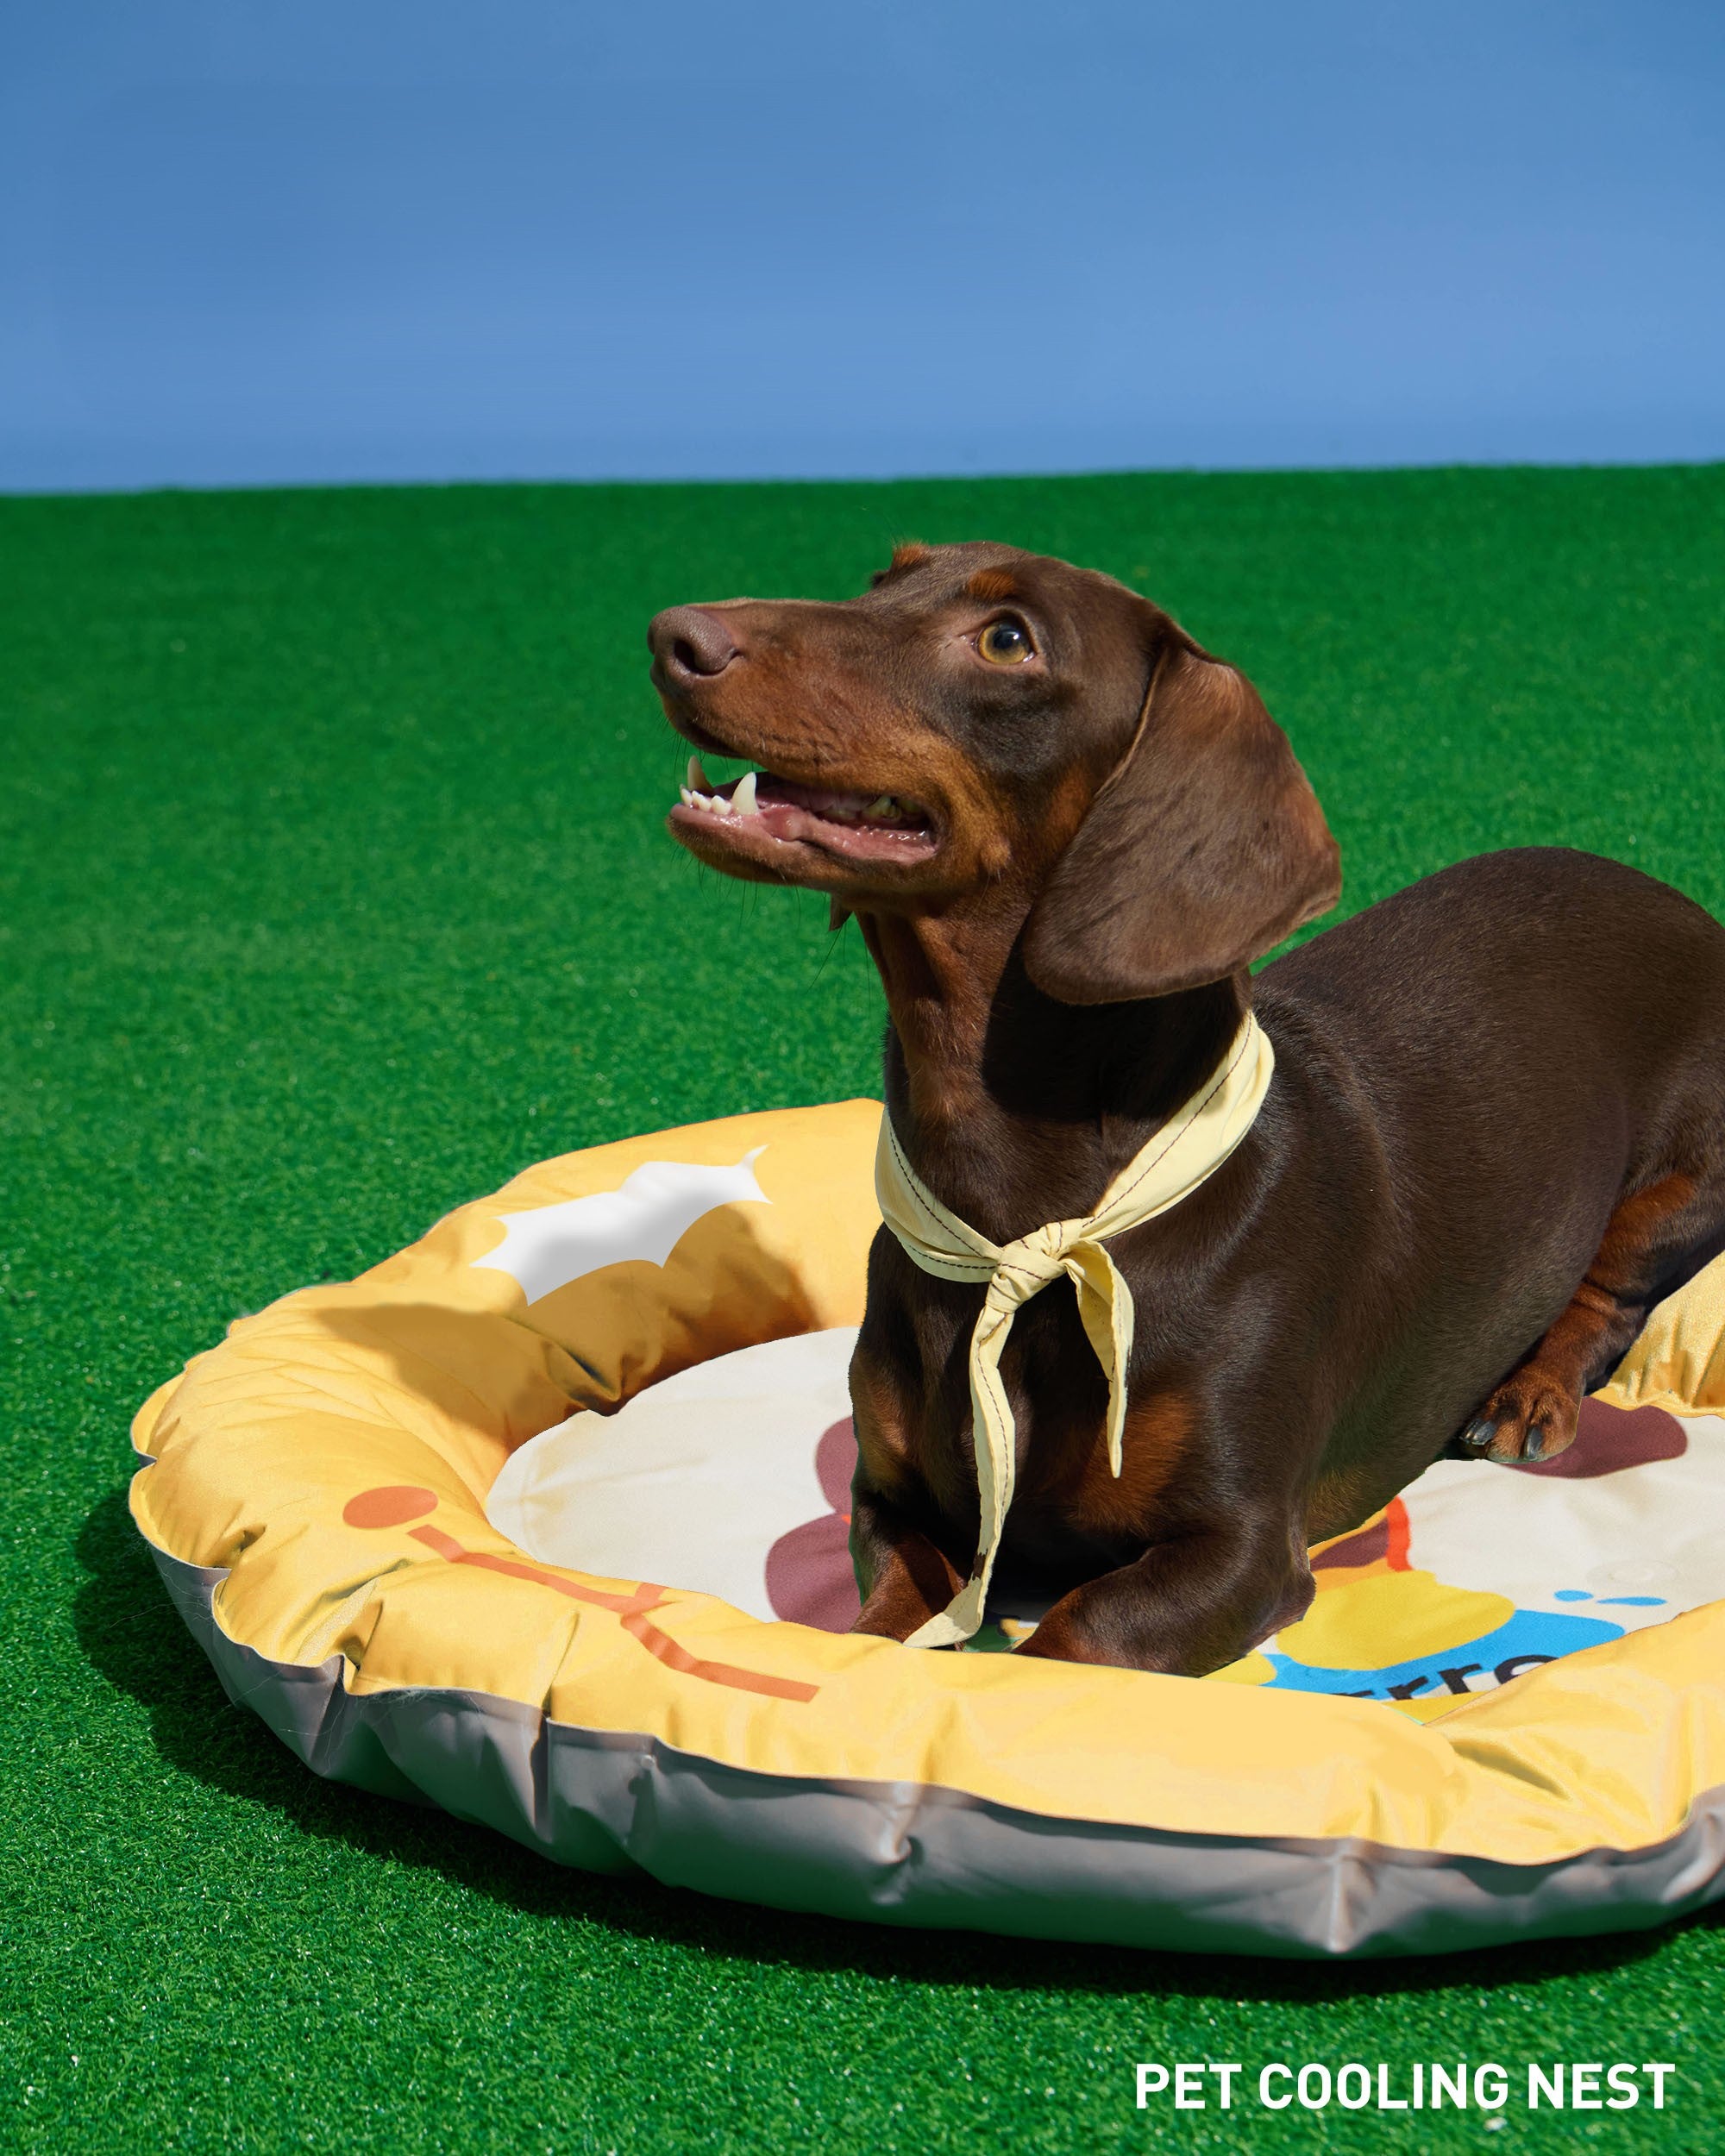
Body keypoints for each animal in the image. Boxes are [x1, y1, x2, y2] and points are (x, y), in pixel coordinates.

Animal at [649, 542, 1725, 1674]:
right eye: (880, 576)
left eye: (1007, 640)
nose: (674, 636)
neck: (1033, 1223)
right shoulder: (891, 1499)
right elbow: (883, 1623)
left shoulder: (1237, 1547)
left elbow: (1069, 1641)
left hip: (1682, 1187)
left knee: (1607, 1296)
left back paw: (1530, 1393)